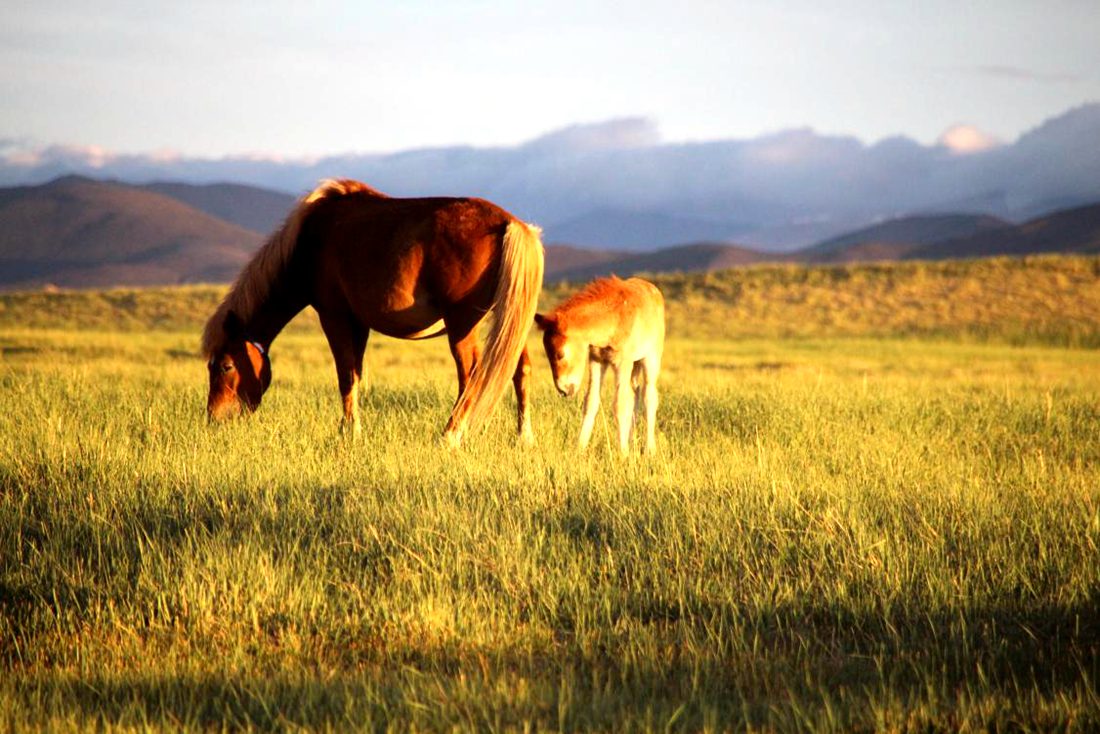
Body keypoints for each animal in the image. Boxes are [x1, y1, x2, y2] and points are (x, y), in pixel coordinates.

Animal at [202, 179, 544, 446]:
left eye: (226, 366)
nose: (214, 419)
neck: (307, 242)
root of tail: (509, 223)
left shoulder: (334, 316)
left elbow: (345, 375)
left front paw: (348, 433)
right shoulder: (360, 324)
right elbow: (356, 373)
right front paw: (352, 428)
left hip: (462, 324)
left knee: (471, 374)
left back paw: (449, 435)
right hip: (507, 324)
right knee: (519, 369)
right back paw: (522, 438)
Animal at [534, 276, 665, 454]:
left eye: (560, 355)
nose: (563, 390)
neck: (612, 320)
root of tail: (654, 290)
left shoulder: (622, 362)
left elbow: (620, 404)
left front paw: (623, 453)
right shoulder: (596, 361)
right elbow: (591, 401)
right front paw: (579, 448)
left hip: (650, 358)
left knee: (648, 396)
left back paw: (649, 449)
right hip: (634, 364)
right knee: (635, 393)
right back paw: (631, 442)